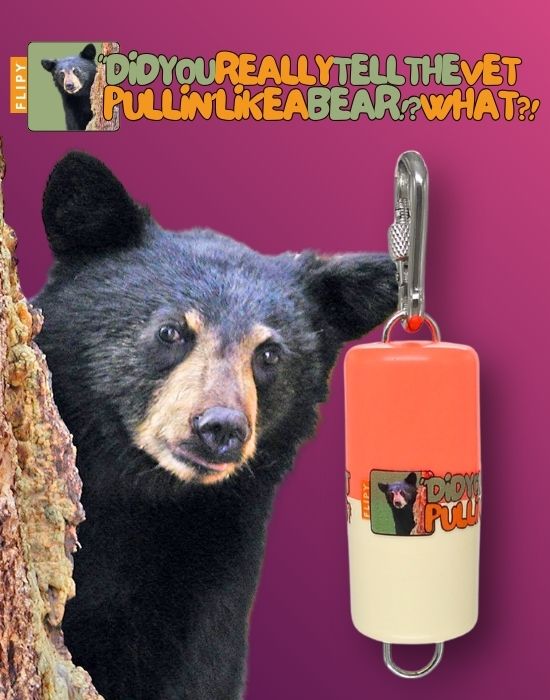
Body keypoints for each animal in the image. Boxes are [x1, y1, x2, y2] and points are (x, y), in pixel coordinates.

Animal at [33, 151, 397, 700]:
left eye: (268, 354)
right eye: (171, 331)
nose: (221, 428)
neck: (137, 495)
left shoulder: (210, 571)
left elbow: (196, 669)